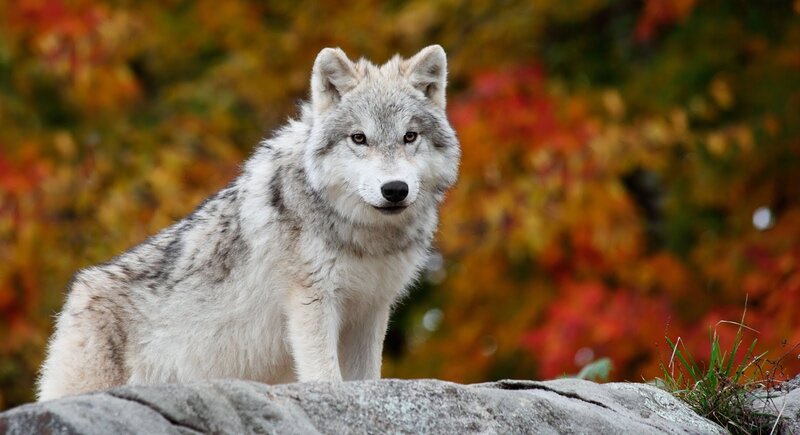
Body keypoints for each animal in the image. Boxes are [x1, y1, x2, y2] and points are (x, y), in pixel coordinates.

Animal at [37, 45, 460, 401]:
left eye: (410, 137)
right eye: (359, 138)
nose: (395, 190)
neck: (364, 237)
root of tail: (78, 292)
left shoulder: (370, 310)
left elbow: (367, 379)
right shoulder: (312, 302)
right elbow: (325, 377)